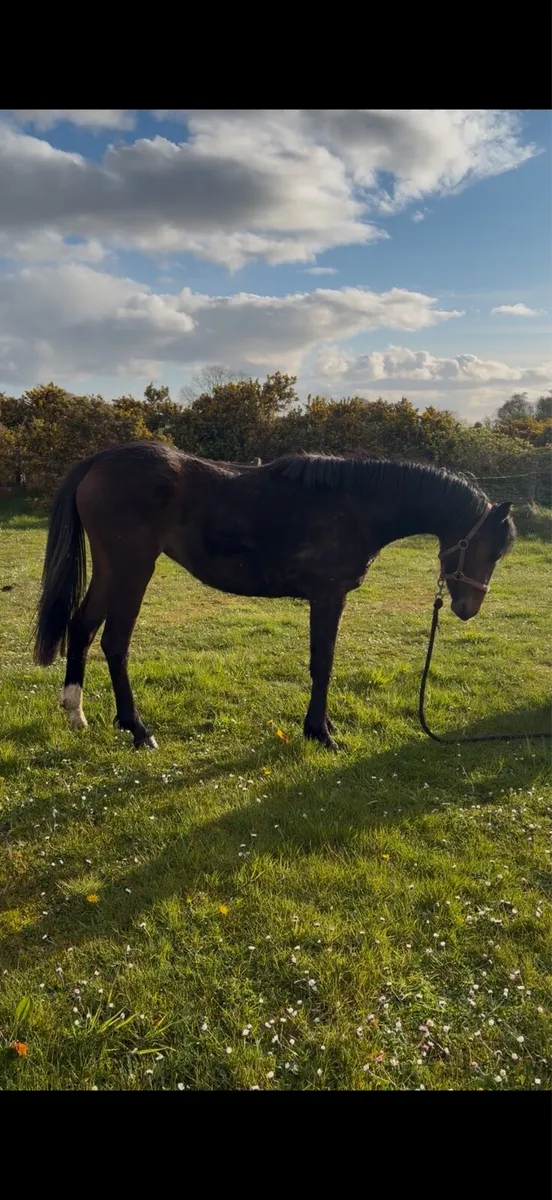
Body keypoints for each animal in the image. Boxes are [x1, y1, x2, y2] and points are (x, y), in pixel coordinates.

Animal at [33, 442, 515, 751]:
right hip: (133, 570)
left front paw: (321, 726)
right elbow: (323, 664)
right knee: (115, 643)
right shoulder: (328, 597)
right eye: (491, 548)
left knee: (81, 627)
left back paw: (76, 713)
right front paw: (321, 733)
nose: (467, 609)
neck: (357, 505)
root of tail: (98, 461)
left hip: (112, 570)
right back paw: (137, 730)